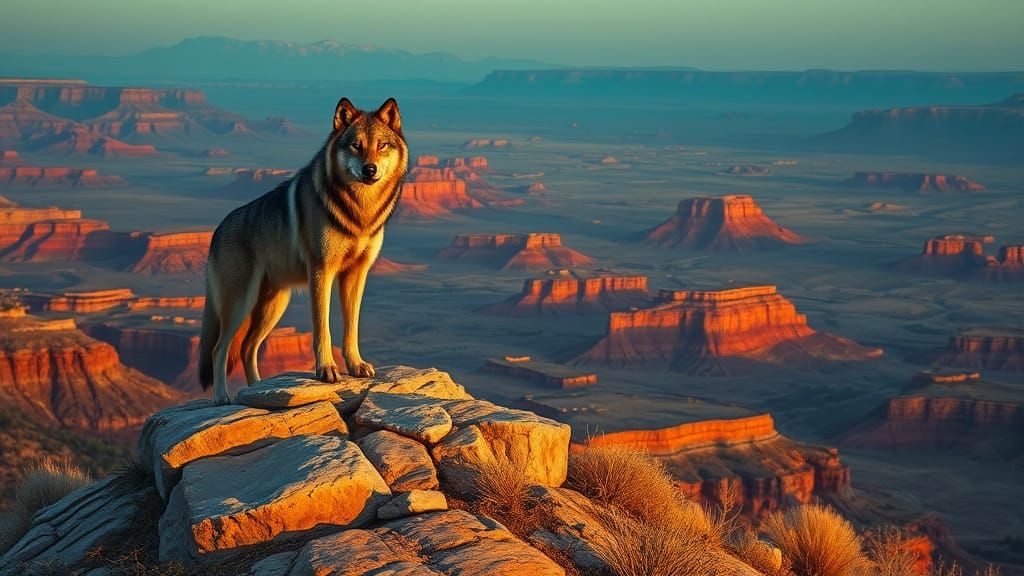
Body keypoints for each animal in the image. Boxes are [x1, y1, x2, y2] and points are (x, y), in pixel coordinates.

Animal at [198, 98, 407, 404]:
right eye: (356, 145)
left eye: (381, 145)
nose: (370, 169)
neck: (360, 211)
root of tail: (216, 232)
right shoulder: (321, 271)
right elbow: (322, 327)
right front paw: (326, 370)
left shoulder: (356, 273)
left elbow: (351, 326)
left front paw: (356, 365)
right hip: (240, 303)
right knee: (219, 349)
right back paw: (223, 397)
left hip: (273, 305)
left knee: (248, 347)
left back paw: (258, 390)